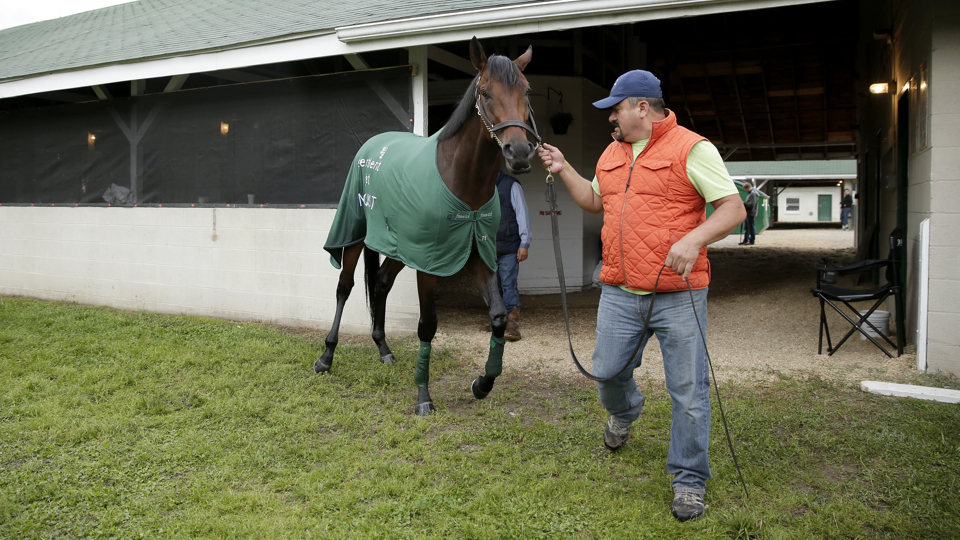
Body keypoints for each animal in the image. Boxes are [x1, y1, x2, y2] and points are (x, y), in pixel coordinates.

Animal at [317, 38, 538, 416]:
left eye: (525, 90)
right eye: (485, 93)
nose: (519, 152)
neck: (461, 181)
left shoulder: (479, 254)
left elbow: (498, 317)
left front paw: (482, 383)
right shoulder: (429, 263)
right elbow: (427, 326)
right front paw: (423, 395)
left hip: (399, 248)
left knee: (380, 283)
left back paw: (383, 348)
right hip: (357, 236)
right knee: (344, 288)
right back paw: (327, 356)